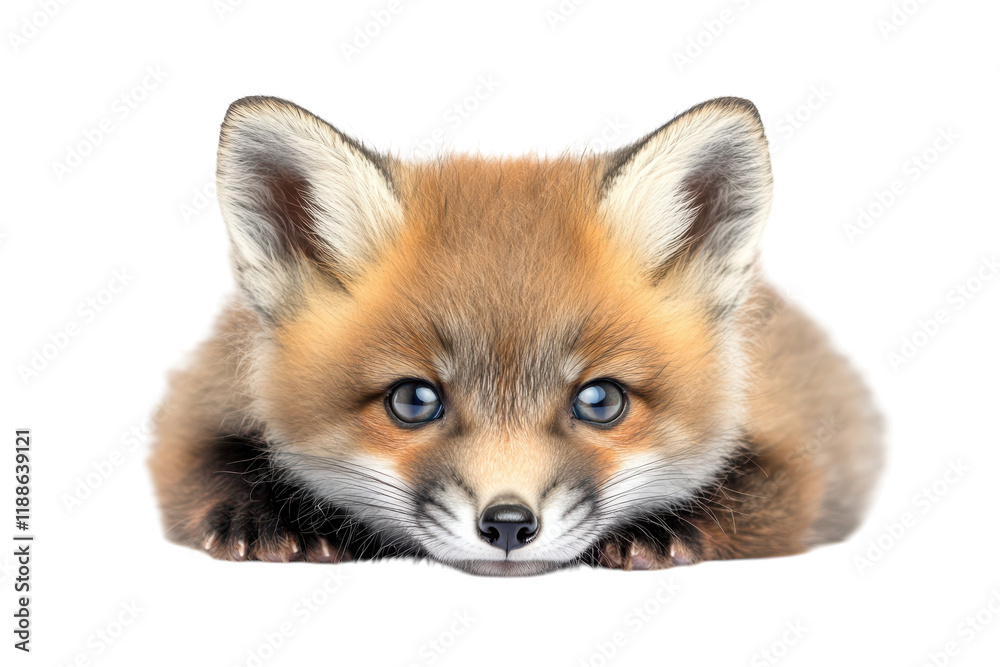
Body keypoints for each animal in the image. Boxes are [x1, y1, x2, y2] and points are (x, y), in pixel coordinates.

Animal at [148, 95, 883, 576]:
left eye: (600, 401)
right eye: (413, 401)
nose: (508, 524)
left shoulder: (801, 440)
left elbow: (762, 492)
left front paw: (663, 529)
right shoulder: (201, 395)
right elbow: (197, 464)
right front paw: (269, 516)